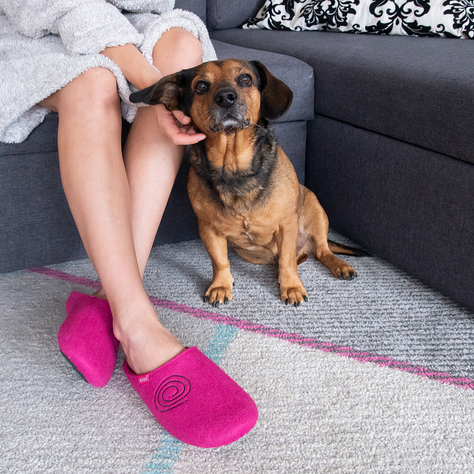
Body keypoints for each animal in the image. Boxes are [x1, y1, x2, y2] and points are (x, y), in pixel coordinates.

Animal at [131, 58, 366, 308]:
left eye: (245, 79)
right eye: (201, 86)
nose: (225, 97)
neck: (234, 167)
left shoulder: (287, 224)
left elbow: (287, 261)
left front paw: (291, 287)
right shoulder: (208, 229)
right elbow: (220, 261)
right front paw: (221, 285)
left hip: (315, 209)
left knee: (321, 251)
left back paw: (339, 266)